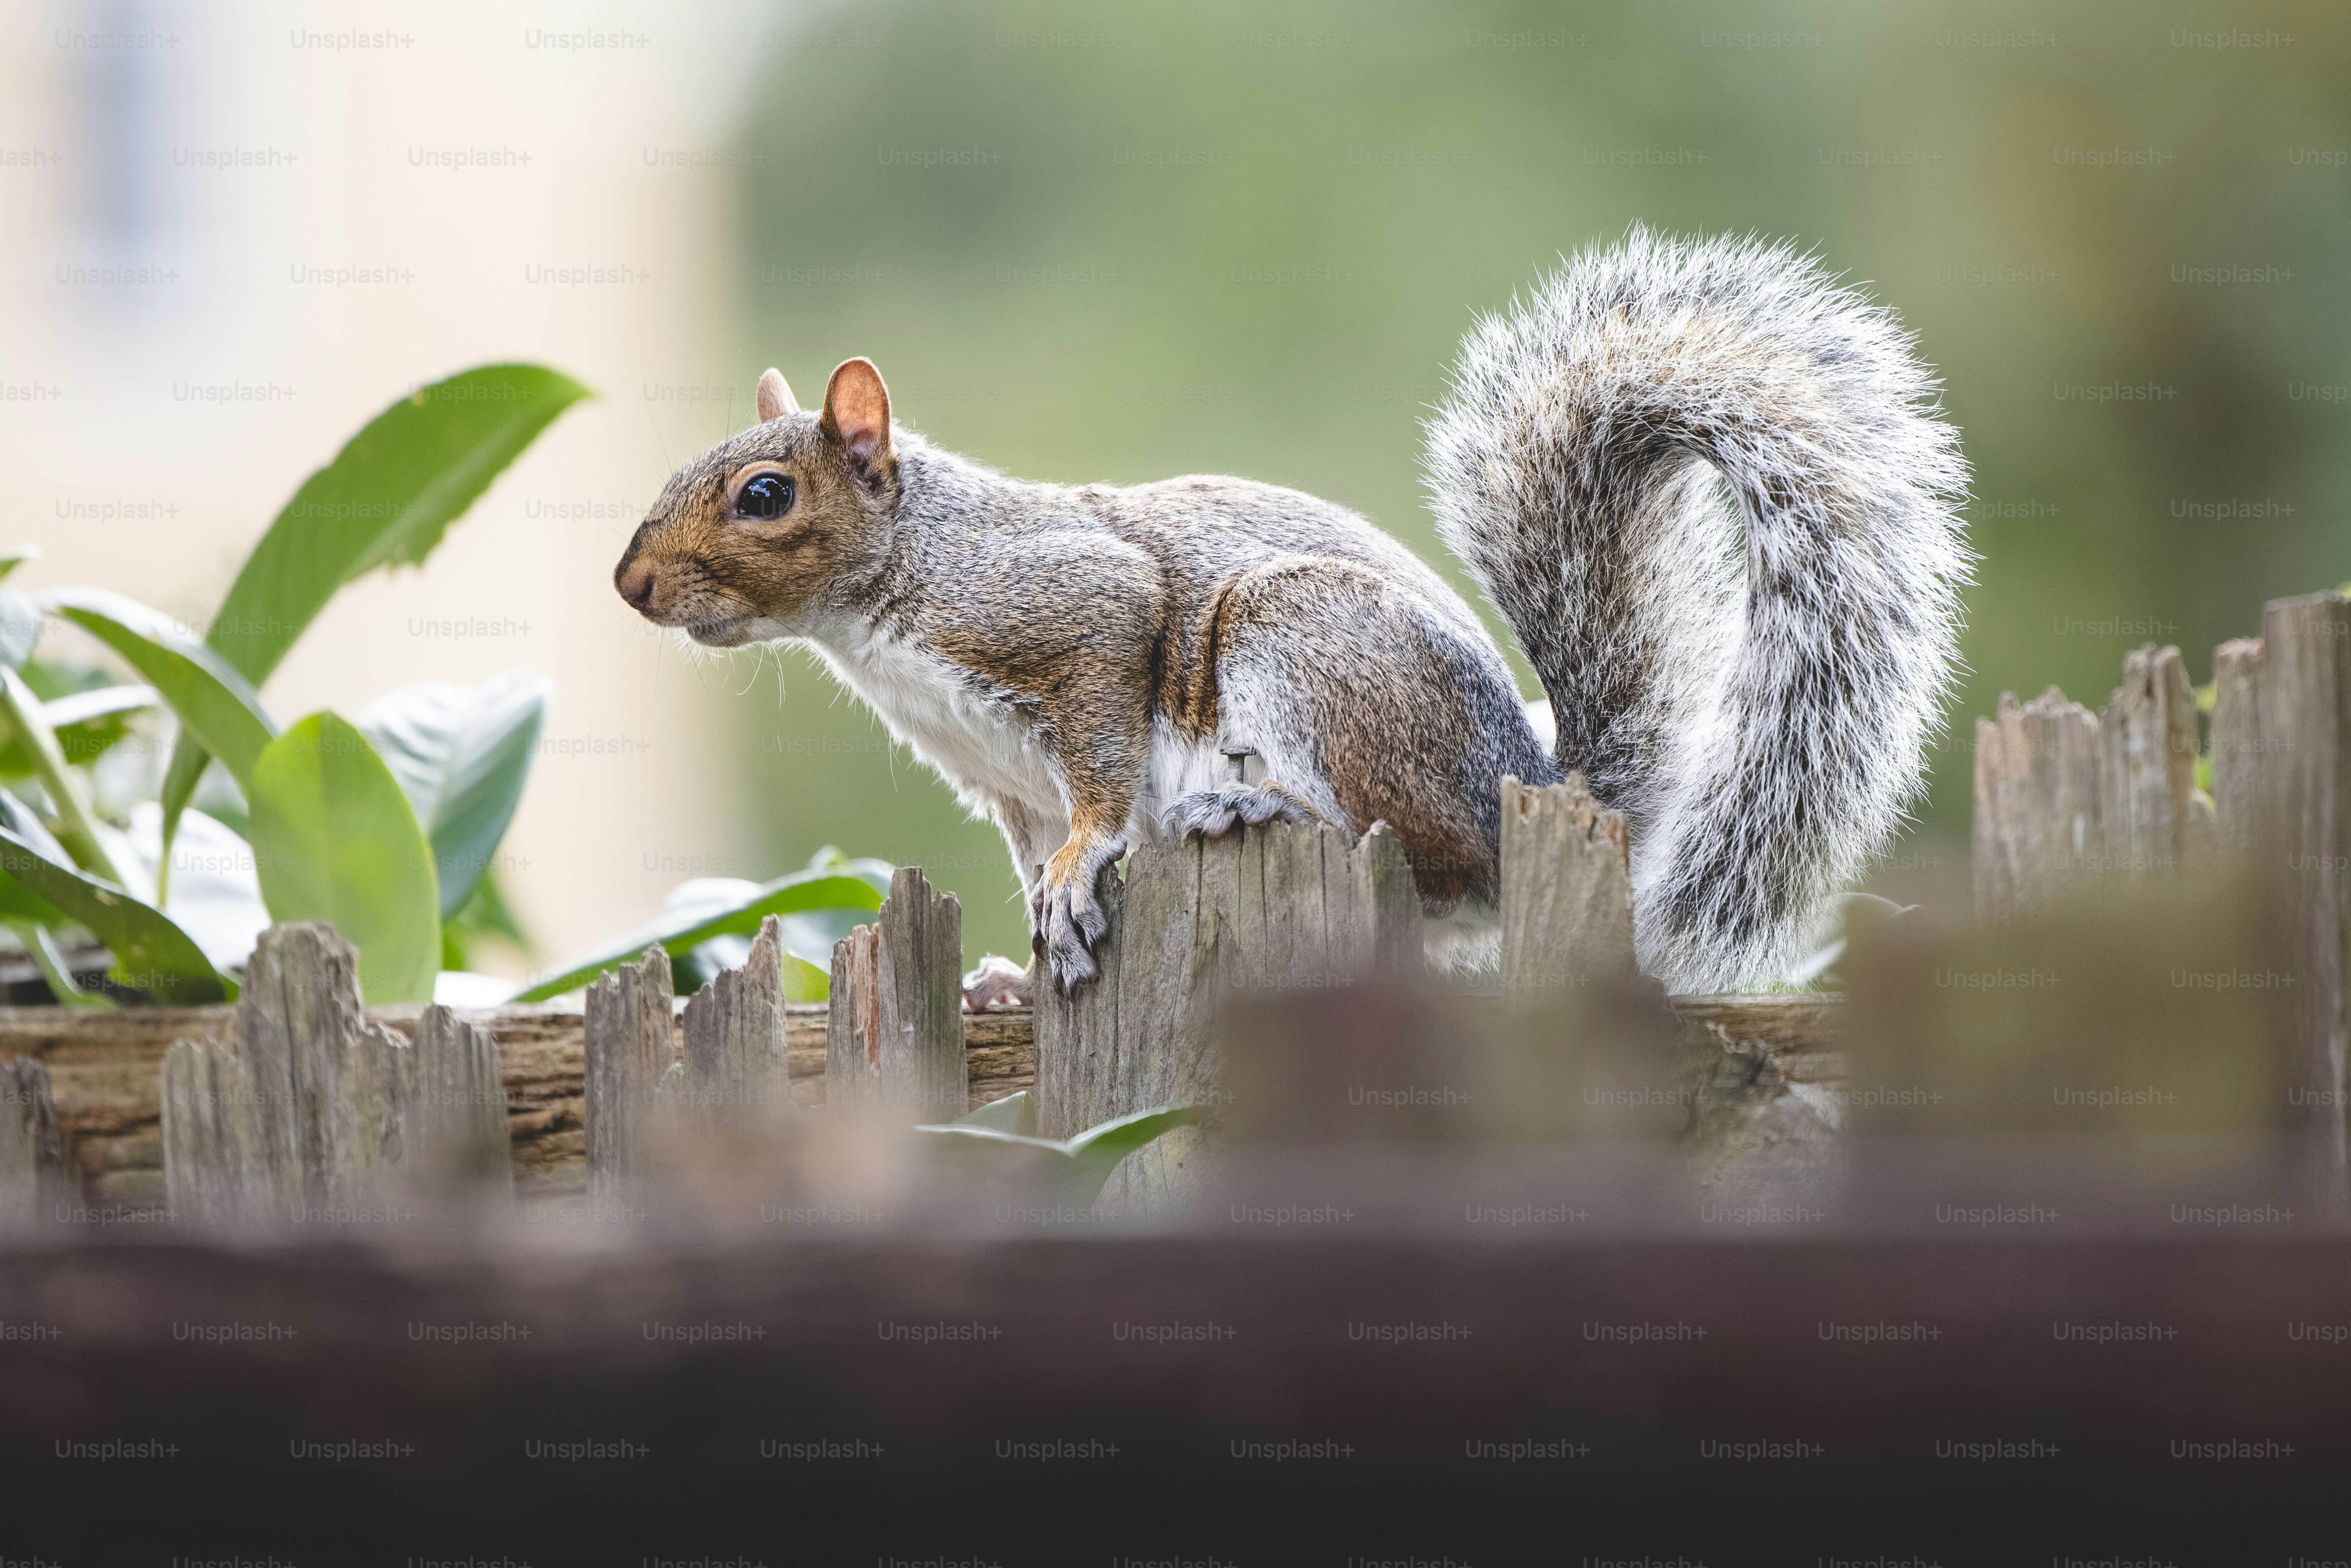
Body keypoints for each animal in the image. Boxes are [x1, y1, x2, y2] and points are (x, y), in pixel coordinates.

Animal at [614, 228, 1969, 996]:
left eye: (765, 494)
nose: (630, 586)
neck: (888, 598)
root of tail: (1533, 786)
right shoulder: (996, 774)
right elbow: (1026, 847)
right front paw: (1006, 967)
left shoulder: (1074, 613)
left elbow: (1098, 775)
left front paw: (1080, 867)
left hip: (1303, 648)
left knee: (1430, 865)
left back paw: (1251, 804)